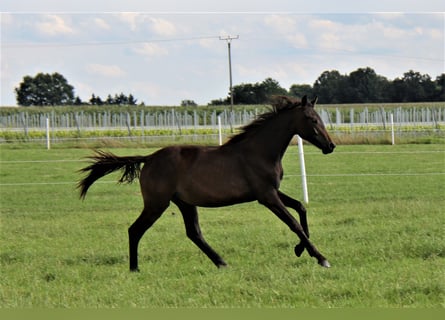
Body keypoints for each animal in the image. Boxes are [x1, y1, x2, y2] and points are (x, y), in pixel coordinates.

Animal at [79, 96, 332, 272]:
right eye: (312, 119)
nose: (330, 146)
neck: (259, 152)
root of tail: (149, 158)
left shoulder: (272, 191)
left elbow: (300, 207)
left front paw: (300, 249)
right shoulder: (266, 196)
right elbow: (293, 223)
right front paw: (321, 258)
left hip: (184, 203)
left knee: (194, 233)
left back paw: (222, 263)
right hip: (156, 204)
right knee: (135, 230)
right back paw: (134, 268)